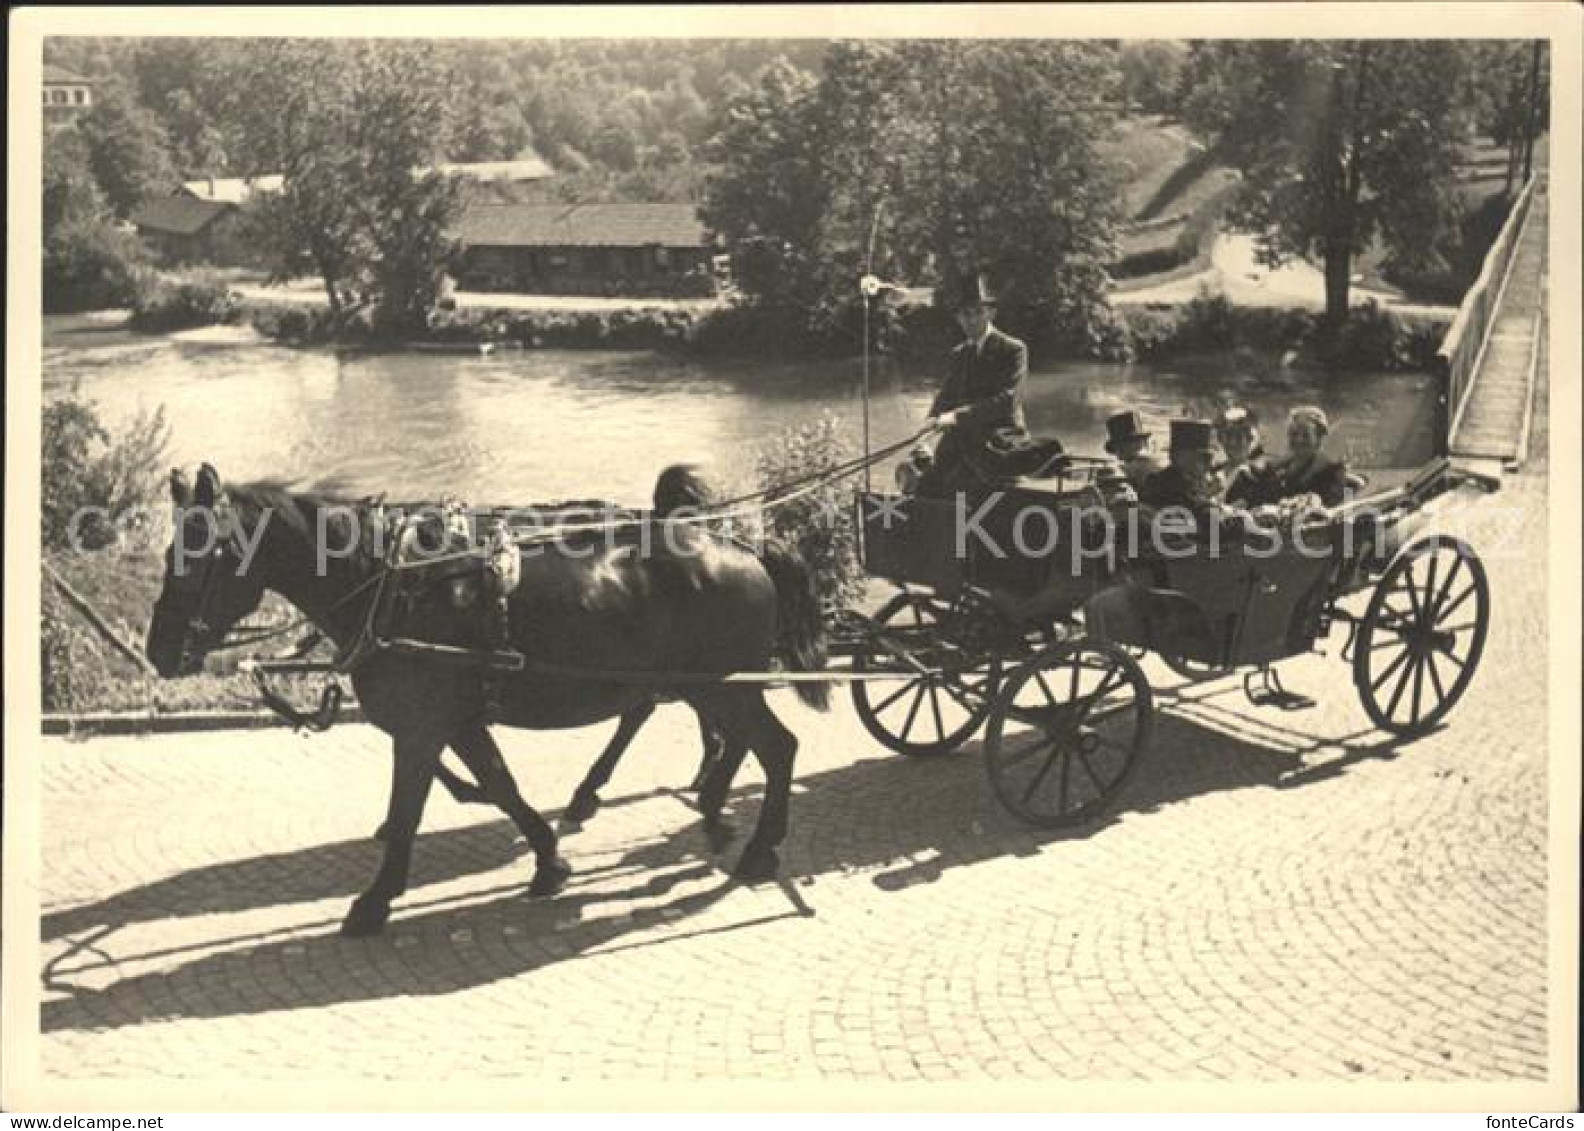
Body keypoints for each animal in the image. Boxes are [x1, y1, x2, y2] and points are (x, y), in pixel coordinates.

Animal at [148, 459, 830, 931]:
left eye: (198, 553)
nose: (158, 649)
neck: (392, 585)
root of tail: (743, 545)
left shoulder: (423, 727)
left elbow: (410, 809)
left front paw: (375, 900)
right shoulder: (459, 723)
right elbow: (500, 785)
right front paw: (549, 860)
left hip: (722, 686)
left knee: (777, 747)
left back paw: (757, 848)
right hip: (708, 687)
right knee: (733, 739)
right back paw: (708, 804)